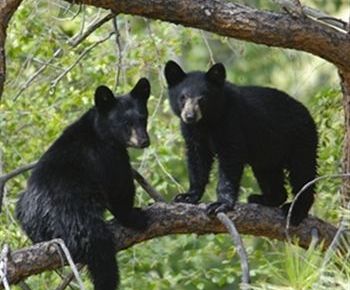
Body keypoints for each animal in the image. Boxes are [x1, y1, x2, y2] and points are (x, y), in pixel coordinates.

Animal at [16, 77, 151, 290]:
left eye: (143, 117)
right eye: (125, 122)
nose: (144, 141)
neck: (99, 130)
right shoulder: (110, 157)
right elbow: (120, 187)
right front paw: (135, 216)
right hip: (76, 215)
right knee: (100, 250)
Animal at [164, 60, 318, 225]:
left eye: (202, 99)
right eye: (183, 97)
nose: (190, 116)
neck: (207, 122)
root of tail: (307, 113)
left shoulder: (231, 121)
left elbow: (230, 159)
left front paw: (221, 203)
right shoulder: (192, 133)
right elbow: (197, 161)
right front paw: (188, 196)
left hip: (300, 139)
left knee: (303, 173)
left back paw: (295, 211)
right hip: (268, 152)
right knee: (269, 173)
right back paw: (265, 198)